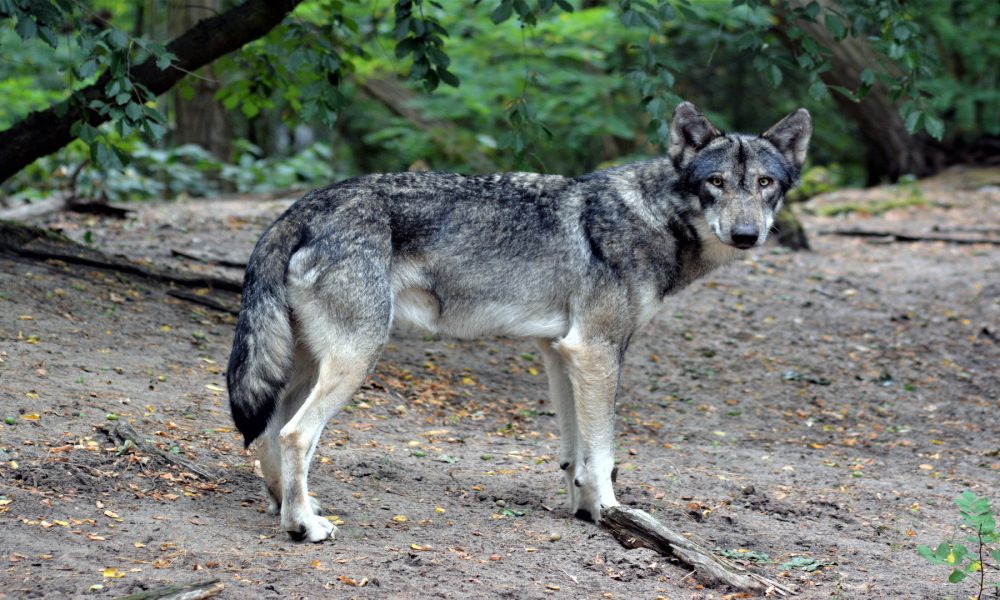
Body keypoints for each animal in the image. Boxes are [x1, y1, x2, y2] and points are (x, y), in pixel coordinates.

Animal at [226, 102, 811, 542]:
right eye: (716, 182)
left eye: (764, 183)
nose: (746, 235)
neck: (652, 217)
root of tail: (299, 209)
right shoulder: (596, 351)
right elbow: (603, 452)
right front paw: (613, 513)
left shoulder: (560, 352)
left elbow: (575, 453)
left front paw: (584, 512)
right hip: (356, 358)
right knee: (297, 434)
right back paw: (304, 526)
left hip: (309, 364)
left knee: (270, 430)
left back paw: (285, 508)